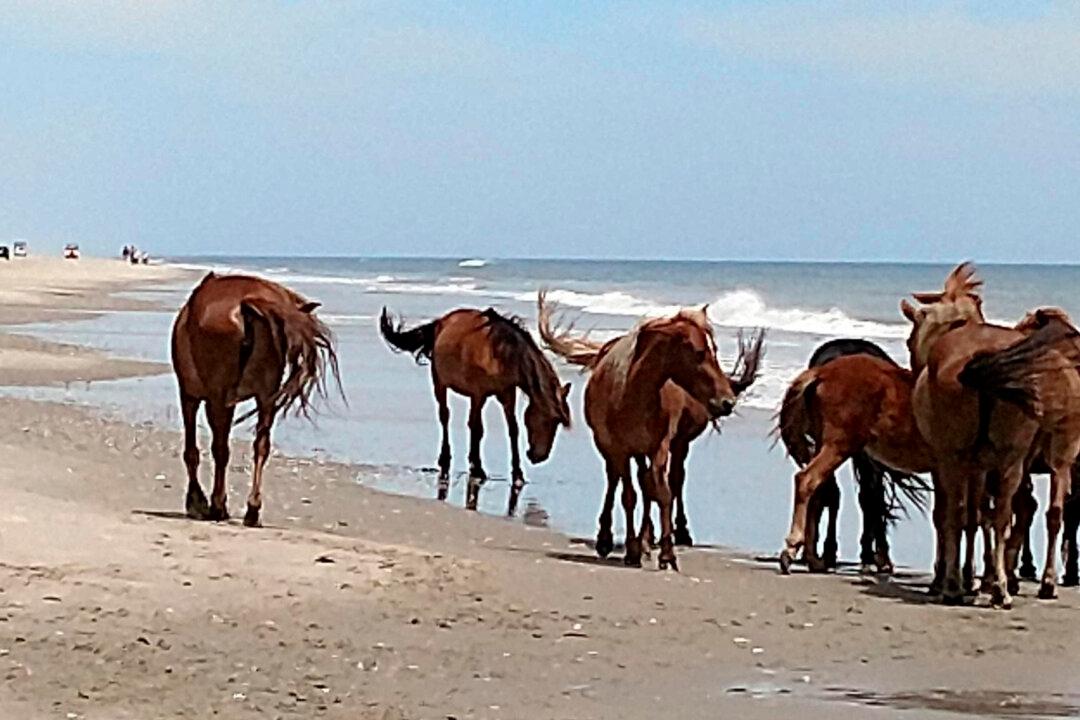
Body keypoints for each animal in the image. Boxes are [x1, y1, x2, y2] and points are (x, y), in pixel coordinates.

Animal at [171, 272, 341, 527]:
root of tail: (246, 303)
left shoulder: (190, 396)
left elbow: (192, 451)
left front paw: (196, 501)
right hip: (266, 396)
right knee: (261, 445)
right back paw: (252, 509)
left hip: (218, 399)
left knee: (221, 449)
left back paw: (218, 505)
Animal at [379, 306, 570, 515]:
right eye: (551, 419)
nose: (538, 456)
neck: (500, 353)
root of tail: (441, 322)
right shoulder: (479, 394)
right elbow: (477, 428)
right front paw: (477, 468)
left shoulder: (507, 394)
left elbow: (512, 430)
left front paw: (517, 473)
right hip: (440, 383)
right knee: (445, 416)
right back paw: (445, 459)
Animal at [536, 291, 764, 570]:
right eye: (699, 352)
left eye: (716, 350)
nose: (727, 402)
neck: (631, 392)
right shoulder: (619, 449)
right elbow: (629, 495)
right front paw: (631, 549)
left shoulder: (659, 446)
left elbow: (661, 492)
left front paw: (665, 552)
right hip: (615, 449)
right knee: (618, 482)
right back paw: (610, 539)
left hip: (674, 444)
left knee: (664, 482)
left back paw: (655, 539)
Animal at [777, 348, 935, 575]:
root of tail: (821, 372)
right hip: (839, 445)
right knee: (808, 480)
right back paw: (792, 550)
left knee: (822, 490)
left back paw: (815, 559)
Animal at [901, 264, 1080, 606]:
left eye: (908, 340)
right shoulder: (986, 466)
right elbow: (983, 516)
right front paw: (978, 577)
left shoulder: (952, 465)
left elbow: (957, 516)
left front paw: (958, 577)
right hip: (1034, 458)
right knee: (1033, 513)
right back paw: (1015, 584)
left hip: (966, 459)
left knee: (966, 514)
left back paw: (962, 585)